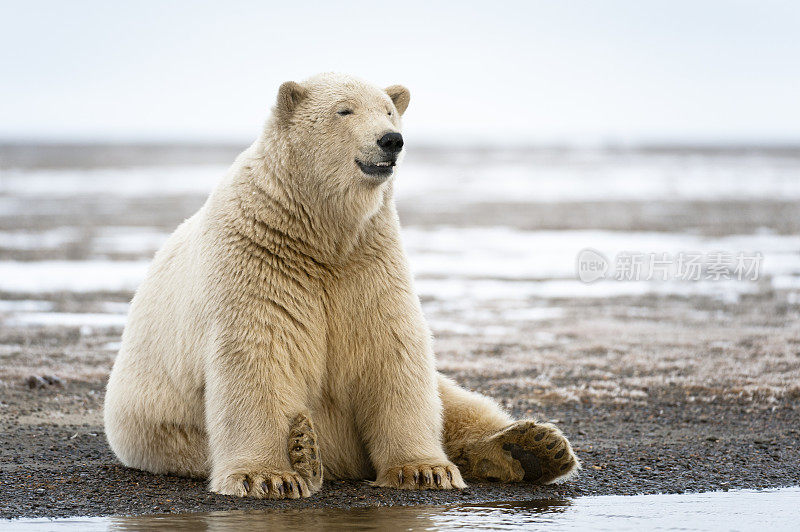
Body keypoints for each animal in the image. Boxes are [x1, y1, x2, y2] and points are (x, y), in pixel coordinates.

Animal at [103, 72, 580, 496]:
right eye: (344, 110)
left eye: (389, 110)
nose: (391, 140)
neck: (320, 233)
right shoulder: (258, 261)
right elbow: (259, 355)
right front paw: (268, 476)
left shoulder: (368, 261)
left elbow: (394, 351)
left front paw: (424, 469)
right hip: (166, 431)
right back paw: (306, 454)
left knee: (453, 400)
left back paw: (536, 447)